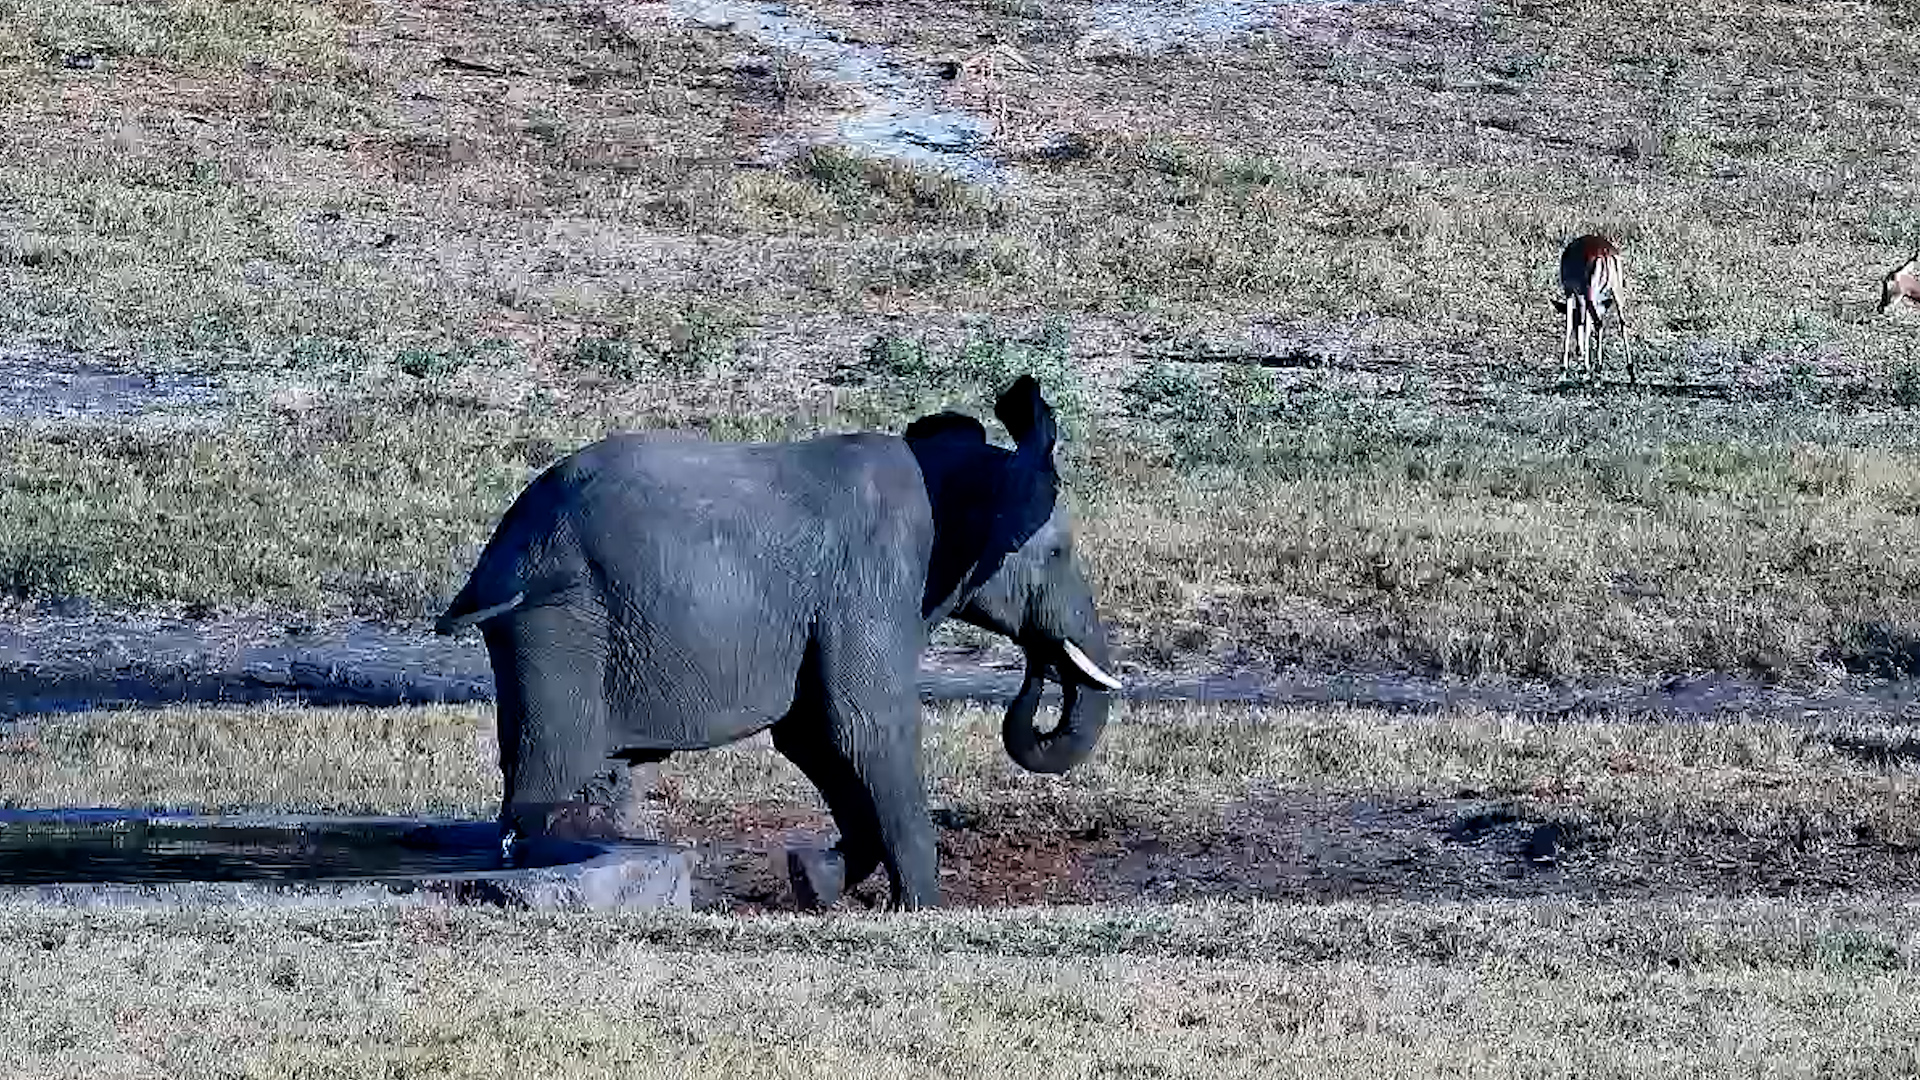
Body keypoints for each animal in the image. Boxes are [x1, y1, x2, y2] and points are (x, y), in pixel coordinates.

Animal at [434, 375, 1122, 910]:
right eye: (1057, 553)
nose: (1040, 665)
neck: (958, 476)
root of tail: (499, 556)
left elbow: (813, 736)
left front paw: (814, 880)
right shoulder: (870, 579)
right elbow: (865, 726)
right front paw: (923, 909)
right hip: (563, 622)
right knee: (550, 767)